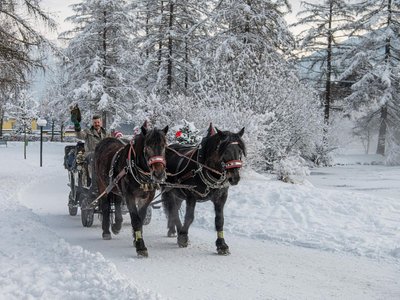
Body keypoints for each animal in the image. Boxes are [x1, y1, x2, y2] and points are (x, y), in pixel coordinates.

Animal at [94, 120, 168, 256]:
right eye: (148, 147)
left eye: (164, 146)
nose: (159, 174)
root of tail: (104, 141)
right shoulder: (129, 196)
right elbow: (135, 219)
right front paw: (140, 246)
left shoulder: (147, 197)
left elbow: (141, 217)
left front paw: (135, 238)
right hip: (102, 185)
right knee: (106, 205)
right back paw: (106, 231)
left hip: (115, 187)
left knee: (117, 202)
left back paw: (117, 225)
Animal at [162, 124, 244, 255]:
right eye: (224, 151)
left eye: (240, 150)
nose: (234, 178)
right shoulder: (191, 195)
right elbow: (189, 217)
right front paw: (183, 237)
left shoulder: (221, 197)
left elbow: (219, 220)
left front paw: (222, 245)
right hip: (168, 190)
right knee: (173, 210)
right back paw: (178, 231)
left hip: (178, 194)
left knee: (174, 209)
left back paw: (172, 229)